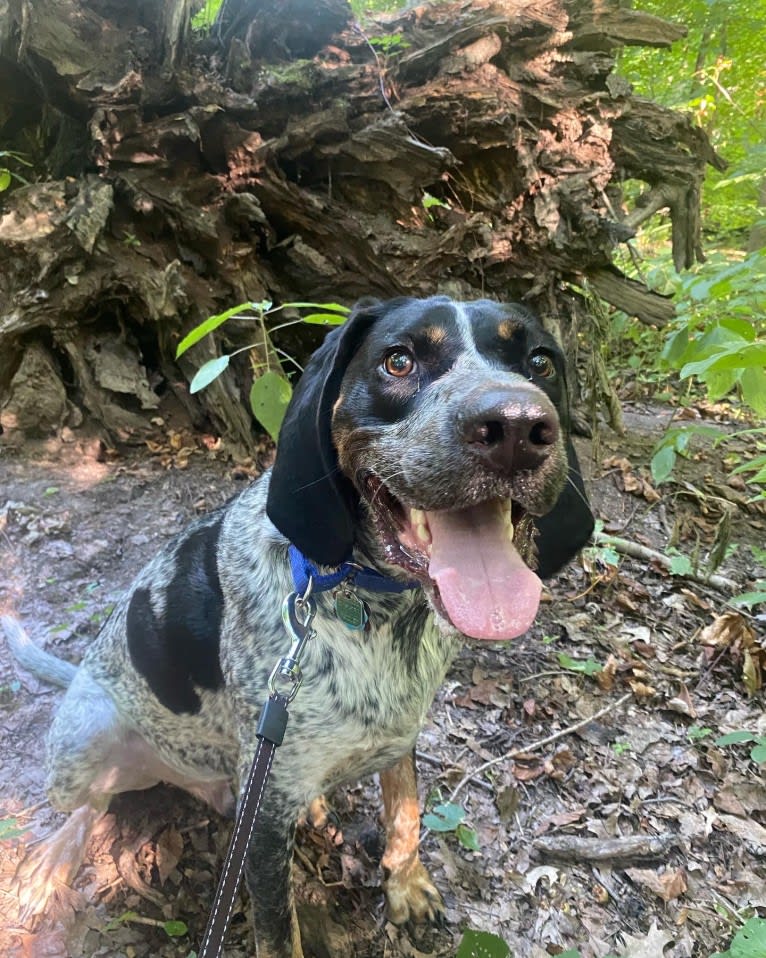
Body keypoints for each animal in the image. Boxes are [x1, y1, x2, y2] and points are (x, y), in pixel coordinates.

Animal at [3, 296, 592, 956]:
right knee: (93, 802)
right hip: (87, 740)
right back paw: (55, 857)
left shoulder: (398, 738)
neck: (374, 604)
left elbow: (406, 813)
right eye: (398, 360)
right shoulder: (262, 825)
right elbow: (277, 930)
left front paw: (406, 886)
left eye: (540, 362)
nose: (516, 427)